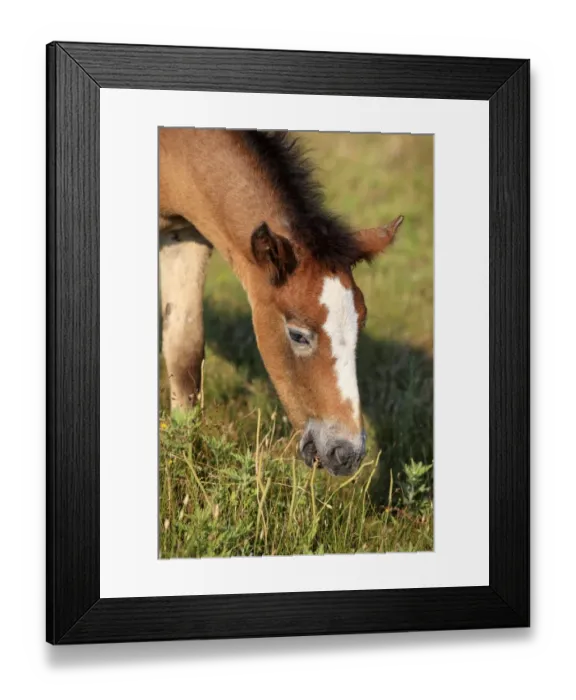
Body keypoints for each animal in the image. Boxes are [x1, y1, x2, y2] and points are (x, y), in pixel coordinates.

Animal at [159, 128, 403, 476]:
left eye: (360, 326)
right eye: (298, 335)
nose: (347, 453)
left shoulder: (185, 236)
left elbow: (185, 354)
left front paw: (184, 464)